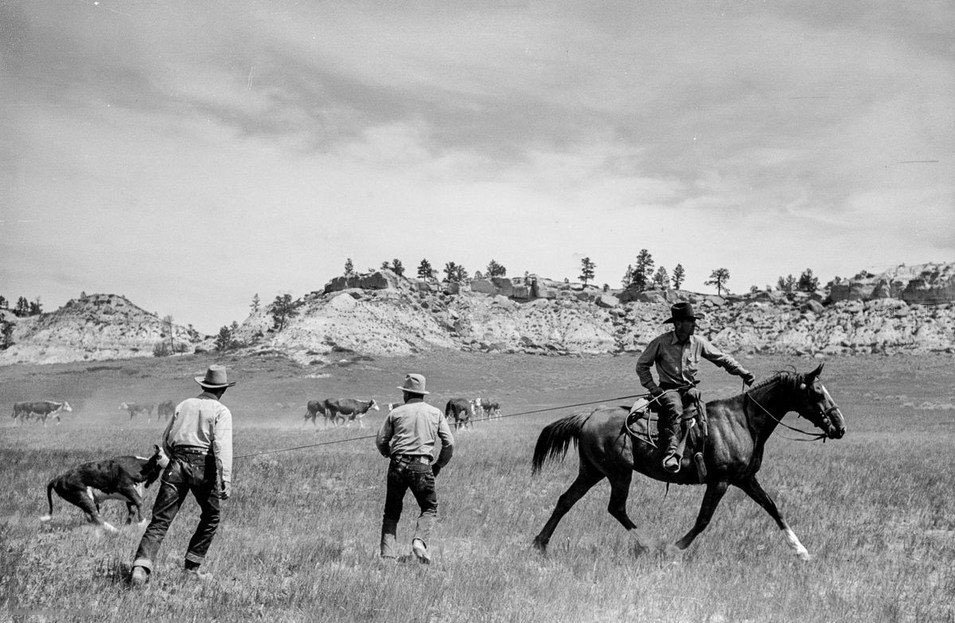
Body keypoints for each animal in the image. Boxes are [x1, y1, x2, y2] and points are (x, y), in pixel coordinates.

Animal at [40, 446, 170, 532]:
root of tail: (58, 478)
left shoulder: (130, 494)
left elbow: (132, 510)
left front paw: (127, 525)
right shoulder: (125, 487)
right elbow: (139, 502)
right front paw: (142, 523)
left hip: (83, 499)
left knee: (92, 516)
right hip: (81, 495)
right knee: (95, 515)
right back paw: (115, 531)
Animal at [536, 364, 848, 564]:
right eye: (817, 392)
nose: (840, 427)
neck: (743, 421)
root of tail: (589, 416)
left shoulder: (746, 479)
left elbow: (774, 508)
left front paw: (802, 552)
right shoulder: (720, 481)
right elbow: (703, 520)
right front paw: (675, 550)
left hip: (592, 471)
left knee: (566, 500)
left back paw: (540, 543)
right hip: (618, 473)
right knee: (616, 508)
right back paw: (651, 546)